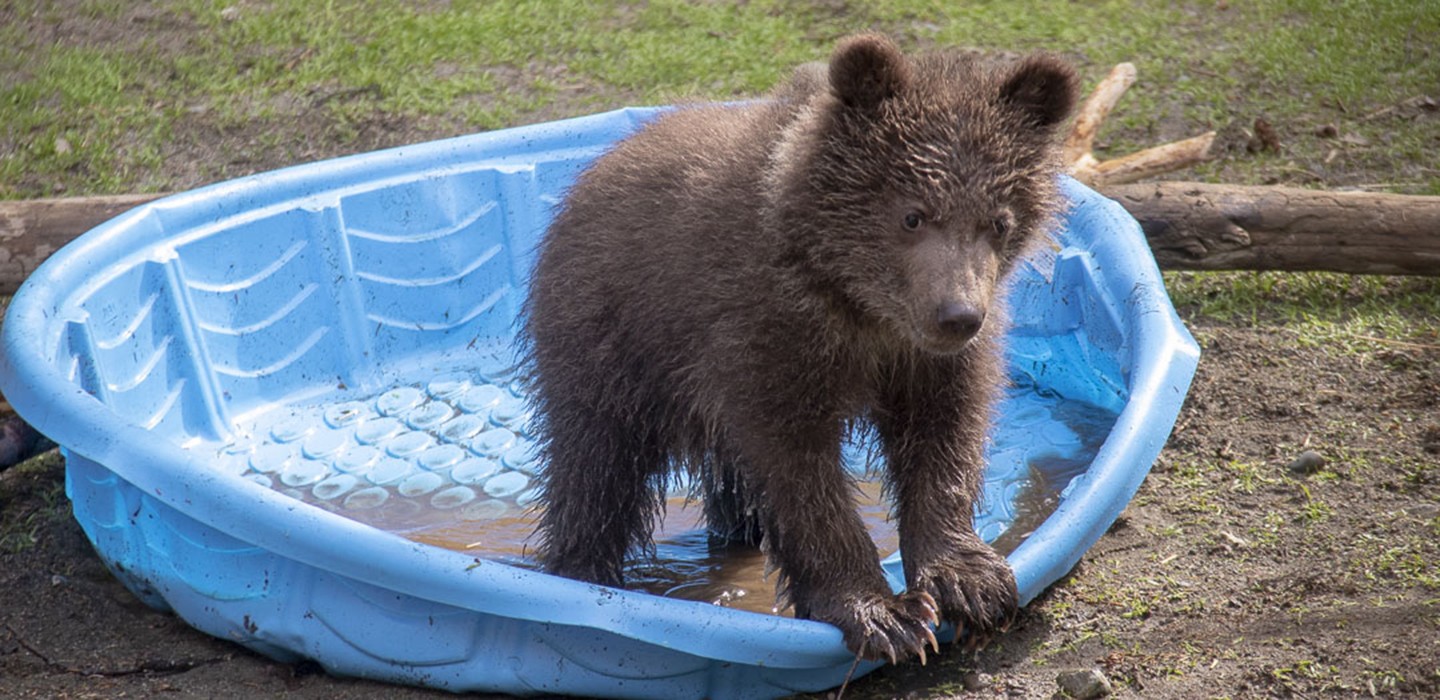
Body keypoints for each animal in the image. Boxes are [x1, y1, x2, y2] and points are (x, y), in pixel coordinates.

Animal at [521, 33, 1078, 663]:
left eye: (998, 221)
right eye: (912, 215)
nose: (958, 315)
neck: (857, 303)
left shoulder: (922, 359)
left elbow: (944, 434)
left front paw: (970, 578)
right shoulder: (767, 334)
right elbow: (799, 471)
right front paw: (882, 614)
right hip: (612, 340)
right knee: (596, 467)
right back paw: (583, 569)